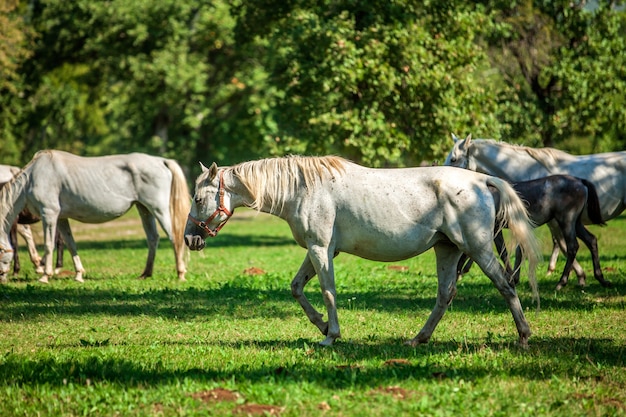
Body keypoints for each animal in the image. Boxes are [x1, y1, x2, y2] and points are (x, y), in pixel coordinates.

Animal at [0, 150, 190, 282]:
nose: (2, 278)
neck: (34, 176)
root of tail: (160, 161)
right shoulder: (61, 218)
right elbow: (71, 244)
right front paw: (78, 275)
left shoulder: (49, 214)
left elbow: (48, 245)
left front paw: (45, 275)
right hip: (144, 209)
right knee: (153, 238)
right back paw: (146, 274)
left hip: (159, 209)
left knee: (175, 237)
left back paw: (180, 274)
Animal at [183, 154, 540, 346]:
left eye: (198, 199)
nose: (189, 239)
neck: (303, 189)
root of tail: (481, 181)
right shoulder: (318, 250)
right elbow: (297, 288)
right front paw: (322, 326)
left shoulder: (321, 250)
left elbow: (327, 291)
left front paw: (331, 335)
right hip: (447, 250)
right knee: (445, 295)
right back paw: (418, 339)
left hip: (477, 249)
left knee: (505, 285)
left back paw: (523, 336)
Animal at [456, 174, 608, 288]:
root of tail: (580, 181)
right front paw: (459, 271)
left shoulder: (495, 228)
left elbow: (502, 251)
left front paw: (511, 278)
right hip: (576, 223)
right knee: (591, 240)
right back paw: (600, 278)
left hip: (567, 221)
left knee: (572, 247)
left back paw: (561, 282)